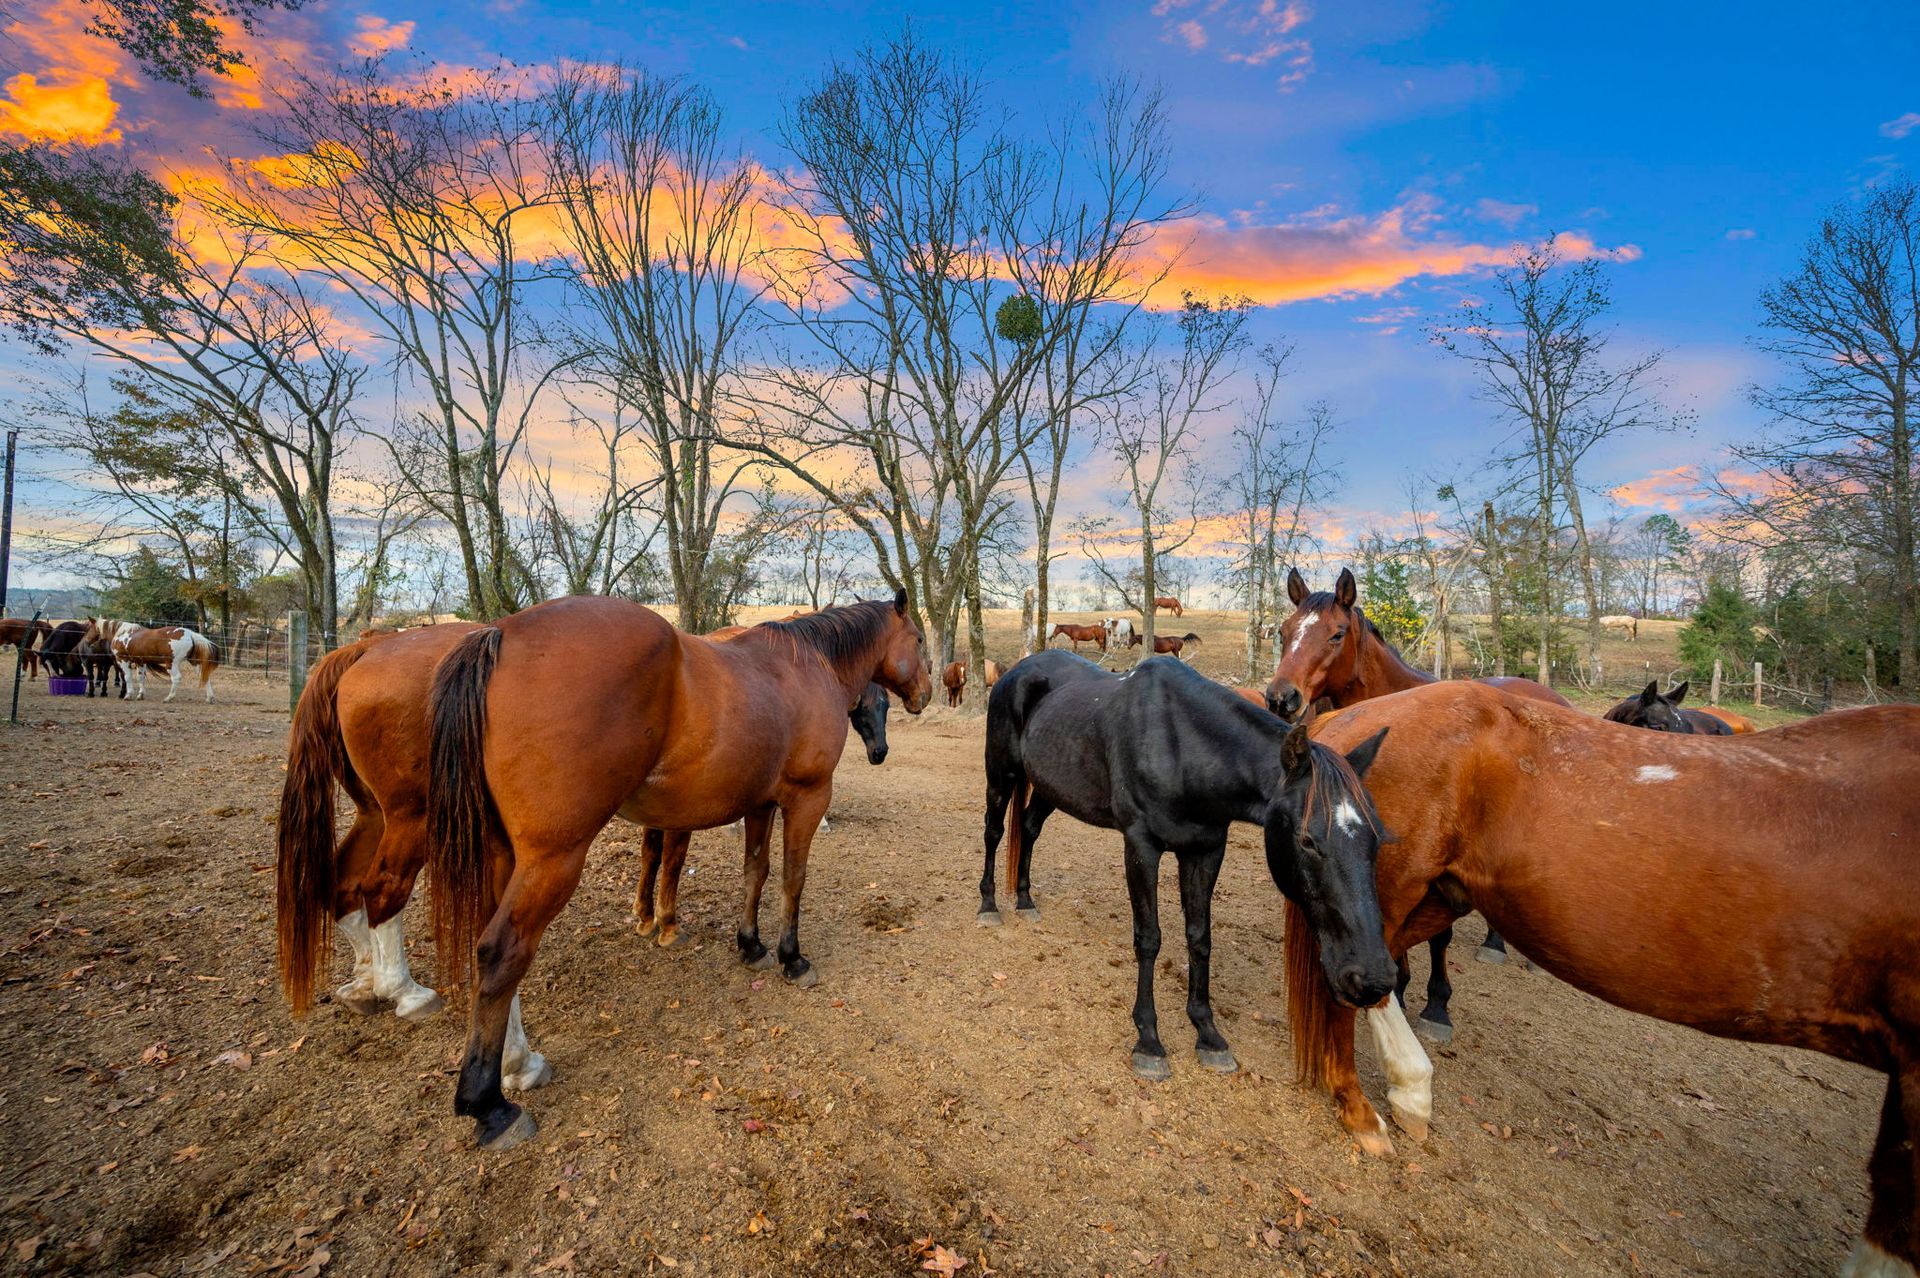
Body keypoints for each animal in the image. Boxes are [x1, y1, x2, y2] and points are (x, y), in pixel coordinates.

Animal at [86, 618, 221, 702]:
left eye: (90, 627)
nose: (87, 641)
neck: (122, 633)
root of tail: (189, 634)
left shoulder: (123, 660)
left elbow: (127, 678)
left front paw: (128, 695)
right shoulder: (140, 662)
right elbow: (140, 678)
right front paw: (140, 695)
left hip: (171, 664)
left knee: (176, 678)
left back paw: (169, 698)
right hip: (195, 663)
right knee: (204, 676)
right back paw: (210, 698)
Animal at [421, 592, 930, 1147]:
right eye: (919, 638)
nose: (925, 695)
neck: (809, 664)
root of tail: (502, 635)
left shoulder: (760, 805)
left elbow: (755, 873)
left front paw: (750, 945)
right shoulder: (807, 799)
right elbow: (792, 879)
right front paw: (792, 957)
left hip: (504, 857)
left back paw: (516, 1063)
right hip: (552, 859)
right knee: (501, 953)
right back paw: (489, 1105)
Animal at [979, 650, 1399, 1081]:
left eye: (1377, 838)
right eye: (1307, 840)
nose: (1372, 979)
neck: (1182, 748)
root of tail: (1016, 670)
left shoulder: (1205, 851)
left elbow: (1199, 938)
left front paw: (1208, 1034)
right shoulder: (1141, 845)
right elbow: (1149, 939)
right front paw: (1148, 1040)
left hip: (1050, 786)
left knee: (1029, 828)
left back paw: (1025, 900)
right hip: (1001, 773)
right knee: (994, 832)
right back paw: (989, 905)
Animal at [1266, 567, 1574, 1041]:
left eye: (1336, 634)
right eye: (1284, 632)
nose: (1282, 697)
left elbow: (1438, 937)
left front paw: (1436, 1005)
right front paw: (1402, 987)